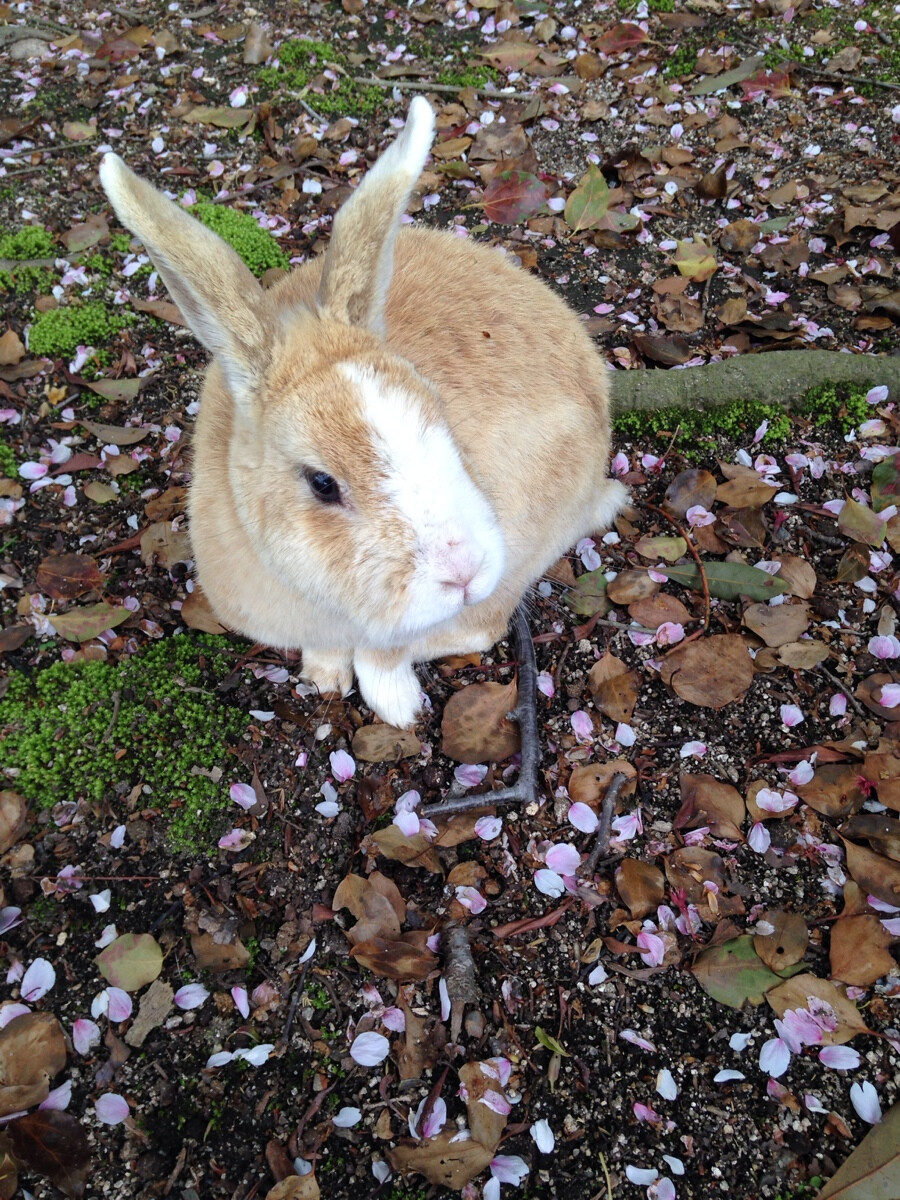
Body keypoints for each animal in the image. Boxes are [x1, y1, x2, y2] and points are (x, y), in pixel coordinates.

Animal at [95, 93, 624, 724]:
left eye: (437, 414)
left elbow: (388, 653)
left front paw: (398, 708)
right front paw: (324, 680)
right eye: (322, 482)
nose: (462, 573)